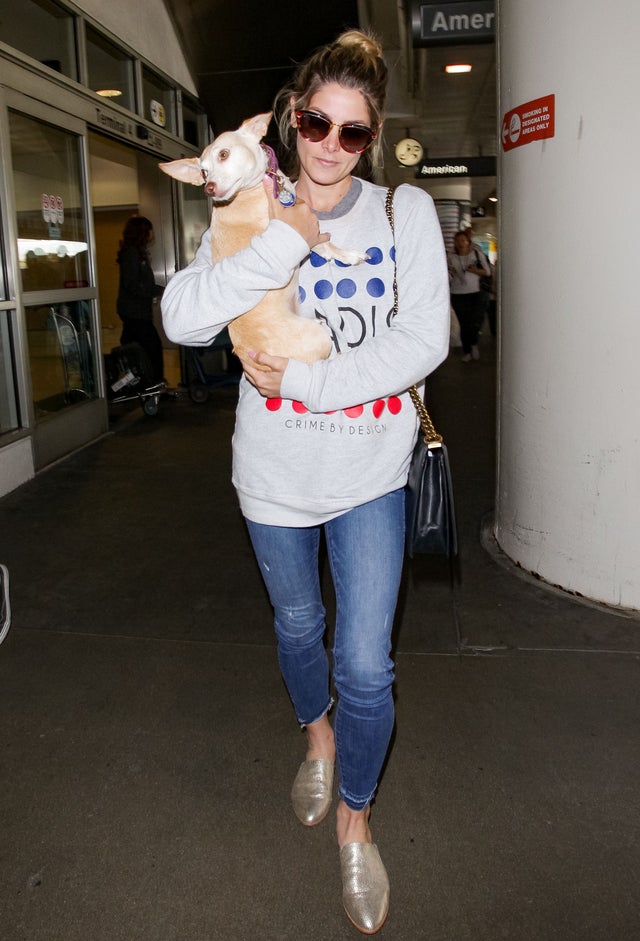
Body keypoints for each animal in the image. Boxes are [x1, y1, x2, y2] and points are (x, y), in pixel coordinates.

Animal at [160, 110, 368, 360]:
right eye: (203, 172)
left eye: (223, 154)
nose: (208, 187)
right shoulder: (294, 228)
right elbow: (321, 244)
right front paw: (347, 255)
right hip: (317, 334)